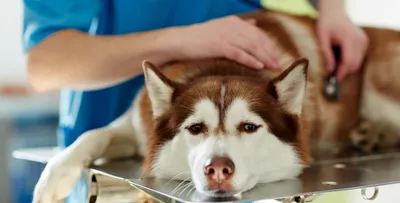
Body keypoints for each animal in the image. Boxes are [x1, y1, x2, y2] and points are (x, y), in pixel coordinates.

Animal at [32, 9, 400, 201]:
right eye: (195, 128)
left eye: (250, 127)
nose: (218, 169)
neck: (220, 64)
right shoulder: (137, 126)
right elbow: (94, 135)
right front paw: (53, 179)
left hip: (379, 76)